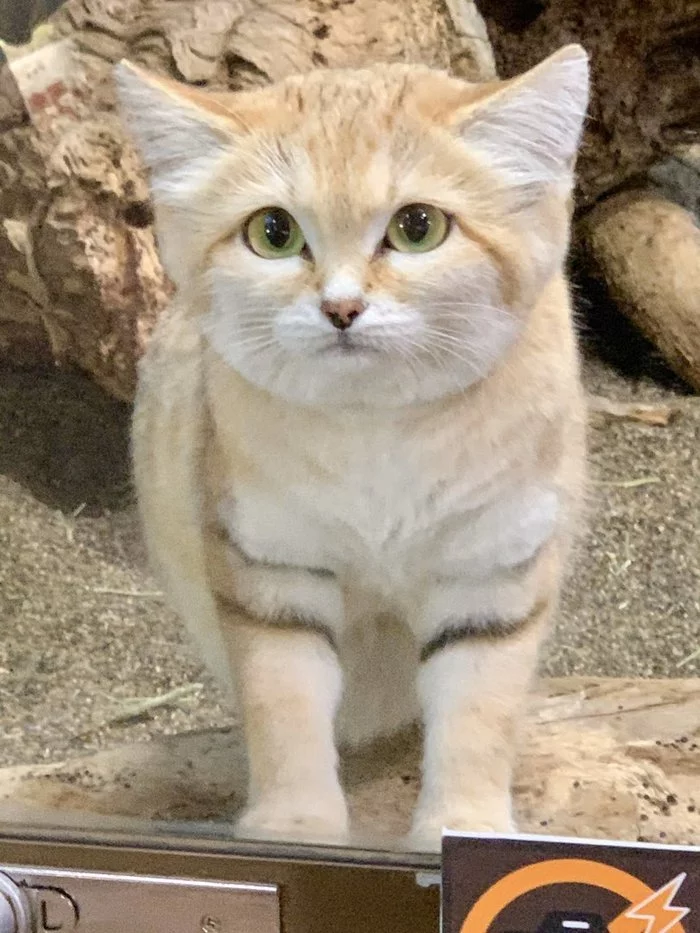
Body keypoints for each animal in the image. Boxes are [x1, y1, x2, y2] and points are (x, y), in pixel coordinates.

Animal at [116, 45, 592, 852]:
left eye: (419, 227)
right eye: (274, 232)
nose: (340, 308)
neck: (379, 428)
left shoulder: (494, 568)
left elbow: (478, 713)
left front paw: (460, 825)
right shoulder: (270, 567)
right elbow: (284, 705)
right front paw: (294, 824)